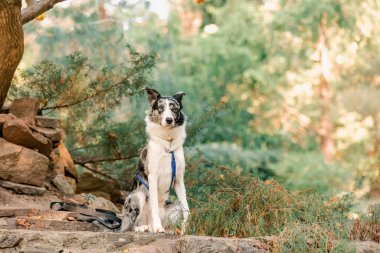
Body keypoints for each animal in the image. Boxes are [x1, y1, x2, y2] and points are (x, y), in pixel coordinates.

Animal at [120, 88, 189, 233]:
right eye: (160, 108)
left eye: (174, 109)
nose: (169, 120)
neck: (168, 144)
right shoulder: (153, 176)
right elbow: (154, 207)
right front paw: (158, 228)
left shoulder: (179, 179)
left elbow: (187, 208)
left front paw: (185, 229)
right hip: (137, 196)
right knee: (130, 227)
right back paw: (145, 228)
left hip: (175, 208)